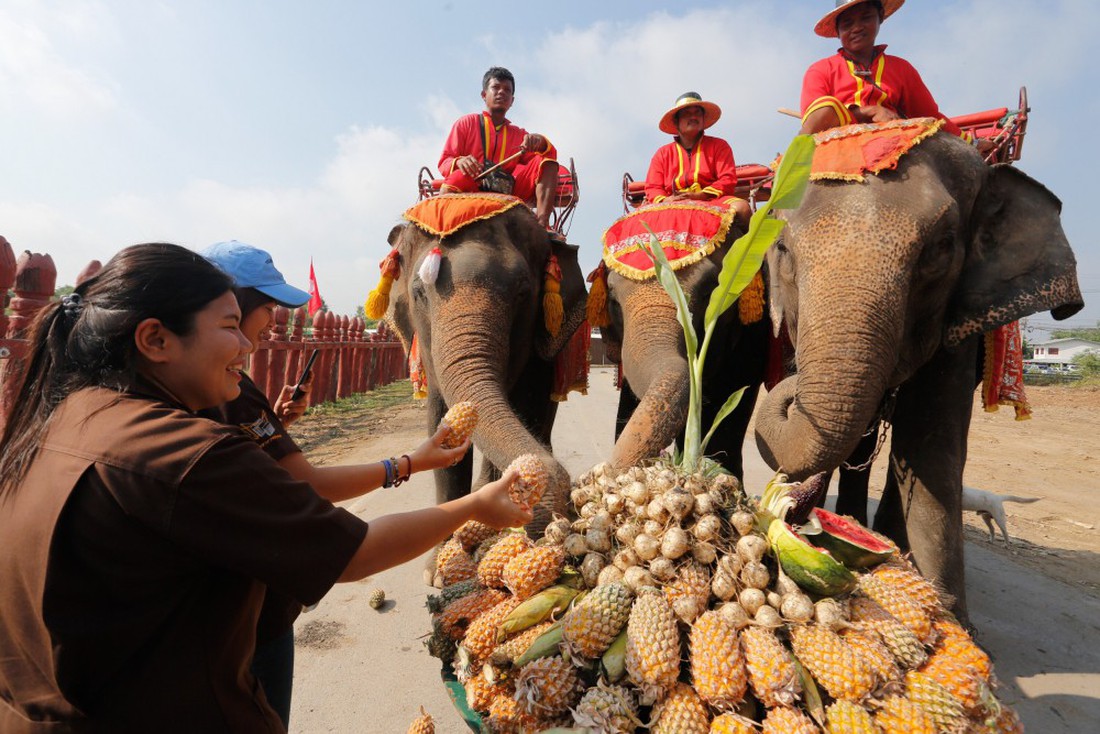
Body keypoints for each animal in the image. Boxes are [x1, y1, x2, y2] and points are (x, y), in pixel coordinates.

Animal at [385, 203, 589, 537]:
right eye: (419, 293)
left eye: (523, 292)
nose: (554, 477)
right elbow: (440, 421)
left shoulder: (539, 352)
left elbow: (529, 403)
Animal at [756, 127, 1082, 620]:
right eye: (782, 249)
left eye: (941, 247)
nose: (792, 383)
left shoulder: (960, 323)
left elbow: (932, 443)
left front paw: (950, 614)